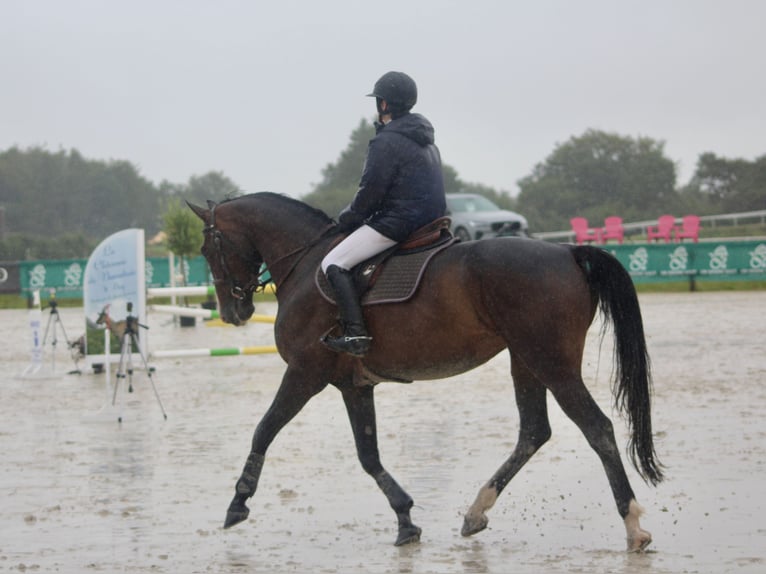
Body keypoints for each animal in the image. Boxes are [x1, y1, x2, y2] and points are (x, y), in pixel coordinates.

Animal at [189, 192, 664, 552]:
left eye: (208, 249)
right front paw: (405, 520)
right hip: (525, 361)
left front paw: (237, 503)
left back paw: (633, 525)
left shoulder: (306, 374)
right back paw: (476, 512)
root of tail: (567, 250)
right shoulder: (352, 385)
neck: (306, 264)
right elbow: (368, 455)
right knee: (533, 432)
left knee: (597, 428)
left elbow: (264, 429)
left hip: (551, 362)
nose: (232, 312)